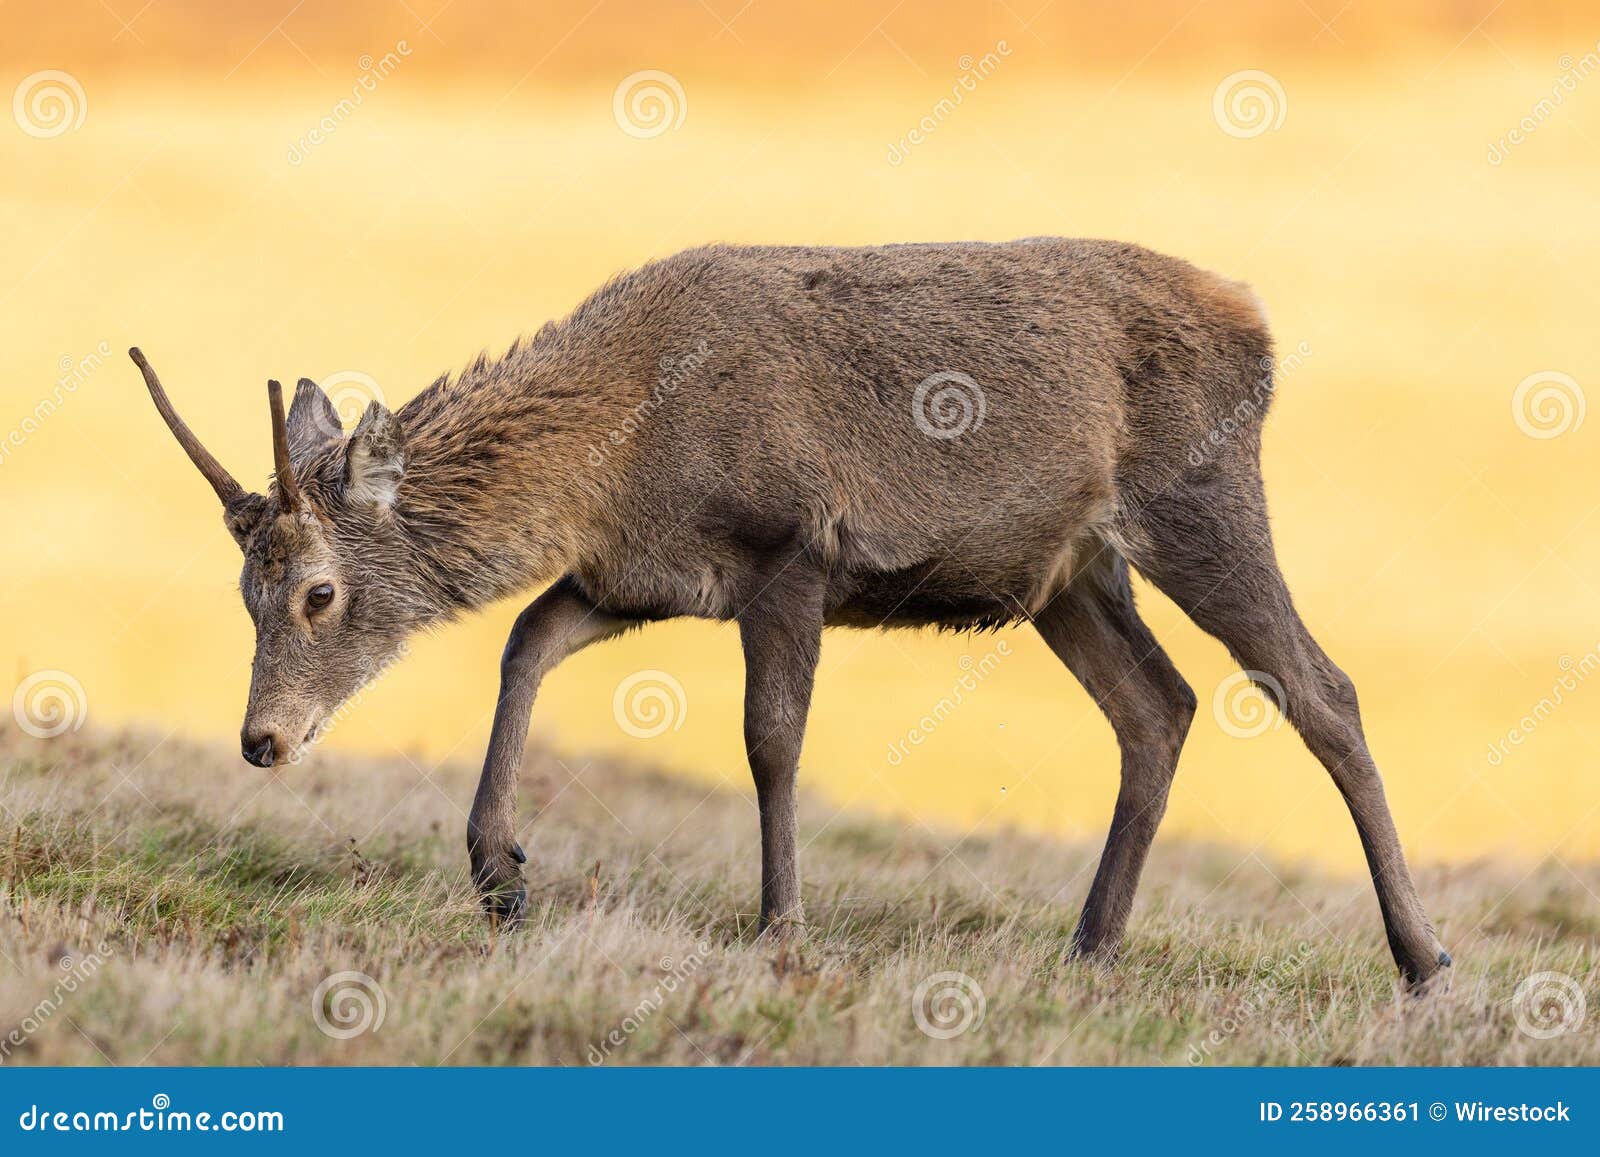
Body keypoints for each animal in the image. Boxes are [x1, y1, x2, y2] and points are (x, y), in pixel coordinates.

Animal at [130, 237, 1452, 988]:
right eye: (243, 590)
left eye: (319, 590)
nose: (262, 737)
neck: (622, 453)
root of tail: (1257, 320)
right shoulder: (640, 578)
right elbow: (523, 639)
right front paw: (500, 873)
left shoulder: (790, 547)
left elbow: (770, 738)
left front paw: (779, 925)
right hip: (1068, 570)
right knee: (1158, 705)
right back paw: (1090, 943)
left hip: (1196, 491)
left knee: (1319, 690)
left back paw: (1420, 953)